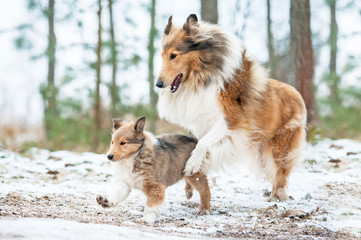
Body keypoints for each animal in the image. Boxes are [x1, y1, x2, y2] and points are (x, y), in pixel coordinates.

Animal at [156, 14, 306, 200]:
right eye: (162, 55)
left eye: (173, 55)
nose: (158, 84)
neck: (203, 76)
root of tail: (297, 94)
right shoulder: (204, 124)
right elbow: (199, 146)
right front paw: (190, 182)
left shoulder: (230, 121)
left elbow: (202, 144)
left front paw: (191, 165)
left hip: (280, 148)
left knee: (281, 174)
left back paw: (278, 196)